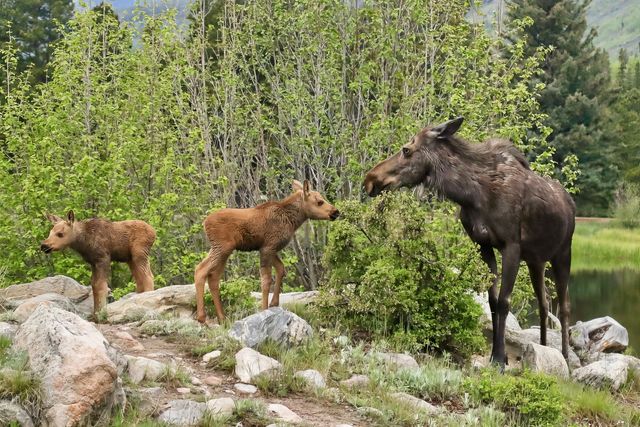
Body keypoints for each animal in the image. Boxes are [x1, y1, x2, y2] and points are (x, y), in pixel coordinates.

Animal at [194, 180, 340, 324]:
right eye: (320, 202)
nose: (336, 212)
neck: (292, 221)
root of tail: (204, 223)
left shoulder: (271, 248)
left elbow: (281, 269)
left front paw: (274, 303)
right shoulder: (267, 248)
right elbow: (266, 280)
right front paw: (264, 309)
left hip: (223, 251)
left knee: (213, 277)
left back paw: (222, 318)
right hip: (222, 247)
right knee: (200, 269)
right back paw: (202, 317)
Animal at [362, 117, 576, 368]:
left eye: (406, 149)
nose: (370, 179)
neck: (471, 195)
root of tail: (571, 204)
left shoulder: (511, 245)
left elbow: (504, 302)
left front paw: (500, 360)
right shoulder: (484, 245)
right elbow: (492, 301)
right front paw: (496, 355)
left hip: (563, 253)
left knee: (564, 306)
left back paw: (565, 356)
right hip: (536, 260)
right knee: (544, 303)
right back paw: (544, 347)